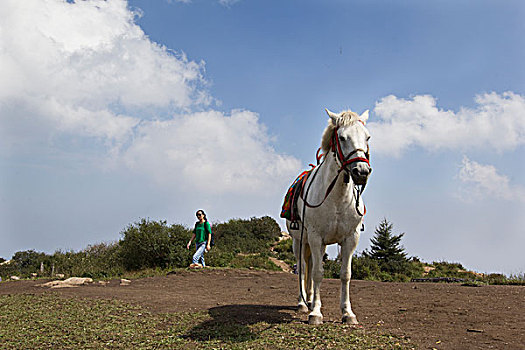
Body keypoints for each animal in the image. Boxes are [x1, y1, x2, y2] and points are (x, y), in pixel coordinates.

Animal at [286, 107, 368, 326]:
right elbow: (317, 273)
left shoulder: (350, 238)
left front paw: (347, 313)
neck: (336, 197)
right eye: (342, 137)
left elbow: (345, 274)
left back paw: (309, 299)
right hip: (299, 242)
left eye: (367, 137)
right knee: (303, 267)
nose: (361, 172)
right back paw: (303, 303)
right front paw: (315, 313)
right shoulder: (315, 237)